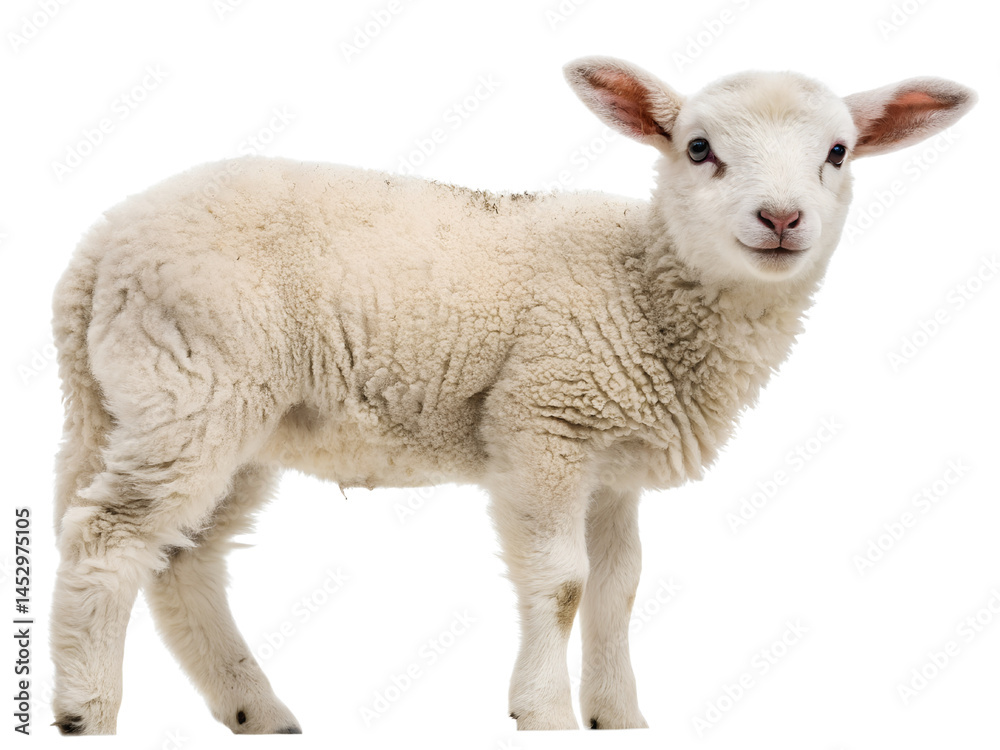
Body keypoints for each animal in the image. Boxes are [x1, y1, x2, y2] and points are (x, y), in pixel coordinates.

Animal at [49, 55, 975, 735]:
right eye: (699, 148)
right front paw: (546, 713)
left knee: (182, 558)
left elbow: (619, 587)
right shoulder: (544, 423)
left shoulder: (613, 465)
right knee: (107, 538)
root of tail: (101, 243)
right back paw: (86, 712)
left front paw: (620, 717)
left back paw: (256, 710)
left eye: (838, 153)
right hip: (196, 382)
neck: (643, 283)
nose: (782, 219)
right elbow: (563, 584)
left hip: (202, 410)